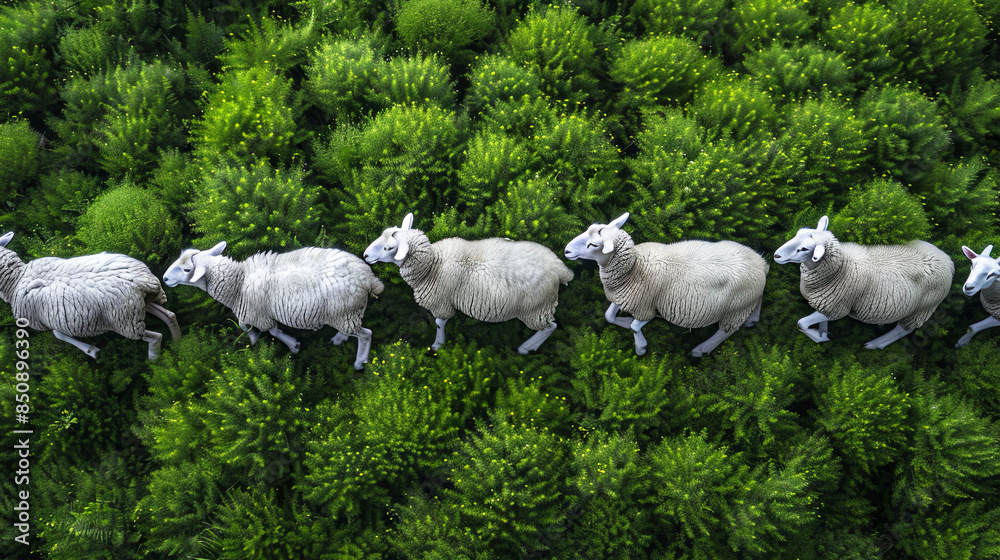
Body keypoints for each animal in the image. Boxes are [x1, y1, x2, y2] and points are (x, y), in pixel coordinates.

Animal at [0, 231, 181, 360]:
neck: (17, 277)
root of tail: (140, 281)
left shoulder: (48, 320)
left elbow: (58, 334)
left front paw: (92, 351)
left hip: (126, 321)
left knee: (156, 337)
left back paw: (154, 362)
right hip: (140, 303)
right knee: (170, 316)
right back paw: (178, 345)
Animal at [163, 242, 384, 370]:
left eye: (187, 269)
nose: (164, 278)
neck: (238, 283)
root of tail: (369, 278)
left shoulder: (258, 314)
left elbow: (269, 330)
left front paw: (288, 345)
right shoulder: (259, 313)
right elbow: (261, 328)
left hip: (345, 311)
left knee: (366, 334)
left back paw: (359, 362)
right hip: (344, 312)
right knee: (353, 331)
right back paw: (340, 338)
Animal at [363, 213, 573, 354]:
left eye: (389, 248)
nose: (365, 256)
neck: (432, 264)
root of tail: (560, 268)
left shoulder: (441, 302)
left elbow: (439, 323)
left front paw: (437, 345)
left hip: (536, 308)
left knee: (550, 327)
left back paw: (525, 348)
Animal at [563, 213, 769, 357]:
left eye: (592, 245)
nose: (566, 251)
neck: (633, 268)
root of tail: (761, 263)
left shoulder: (646, 306)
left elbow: (635, 327)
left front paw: (641, 347)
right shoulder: (624, 297)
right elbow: (609, 316)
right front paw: (625, 321)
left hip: (735, 309)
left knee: (725, 332)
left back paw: (701, 349)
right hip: (749, 299)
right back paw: (752, 320)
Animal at [773, 216, 954, 349]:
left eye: (804, 249)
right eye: (797, 233)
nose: (776, 255)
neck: (839, 268)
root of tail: (948, 260)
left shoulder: (838, 308)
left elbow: (801, 324)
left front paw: (820, 338)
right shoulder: (826, 304)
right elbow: (820, 322)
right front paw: (823, 333)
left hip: (922, 308)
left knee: (903, 330)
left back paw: (874, 345)